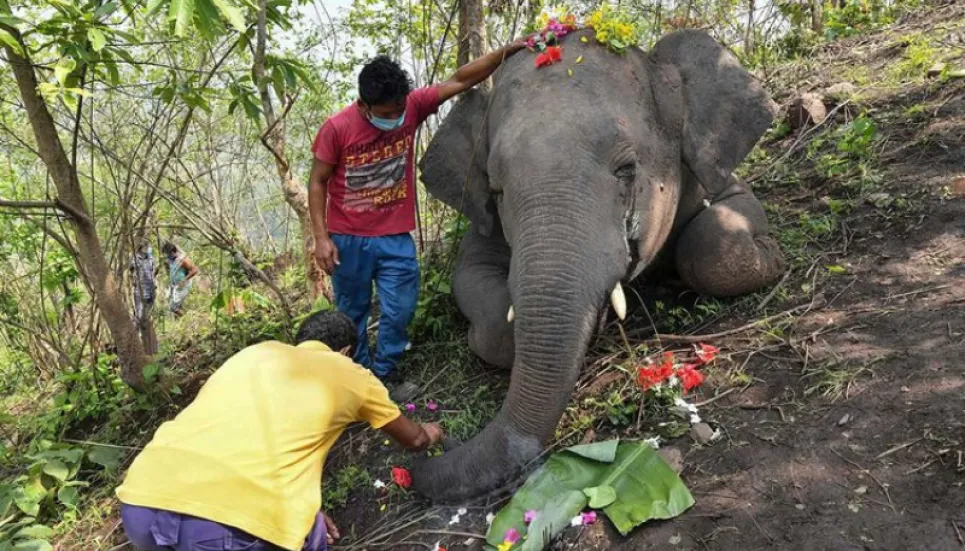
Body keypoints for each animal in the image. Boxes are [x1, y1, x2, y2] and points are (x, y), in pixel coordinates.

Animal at [412, 30, 784, 504]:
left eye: (626, 169)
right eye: (496, 190)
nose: (426, 453)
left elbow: (723, 229)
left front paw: (770, 253)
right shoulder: (484, 227)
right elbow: (479, 288)